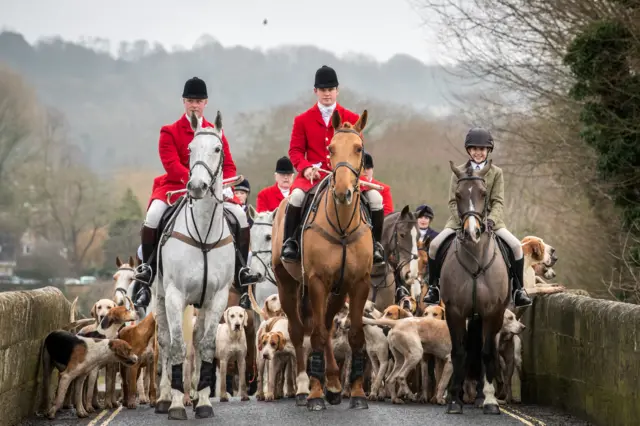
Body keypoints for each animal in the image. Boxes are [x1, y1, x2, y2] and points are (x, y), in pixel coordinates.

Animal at [154, 110, 236, 420]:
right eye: (189, 150)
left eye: (218, 149)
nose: (197, 187)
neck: (203, 234)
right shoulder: (175, 295)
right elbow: (177, 345)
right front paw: (177, 403)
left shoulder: (218, 297)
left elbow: (207, 344)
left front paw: (203, 401)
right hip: (160, 297)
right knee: (166, 341)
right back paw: (164, 397)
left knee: (198, 339)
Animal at [272, 108, 372, 412]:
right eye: (330, 149)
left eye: (359, 148)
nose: (342, 192)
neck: (342, 227)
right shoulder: (316, 282)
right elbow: (314, 334)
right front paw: (316, 394)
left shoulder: (359, 284)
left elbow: (354, 335)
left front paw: (357, 393)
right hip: (288, 286)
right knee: (298, 331)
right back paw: (305, 387)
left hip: (337, 292)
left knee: (327, 327)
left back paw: (335, 384)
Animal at [440, 161, 510, 416]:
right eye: (458, 195)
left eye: (483, 193)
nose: (473, 232)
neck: (476, 260)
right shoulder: (455, 312)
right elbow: (459, 351)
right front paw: (453, 400)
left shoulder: (492, 312)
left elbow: (487, 352)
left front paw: (490, 401)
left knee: (482, 351)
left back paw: (481, 396)